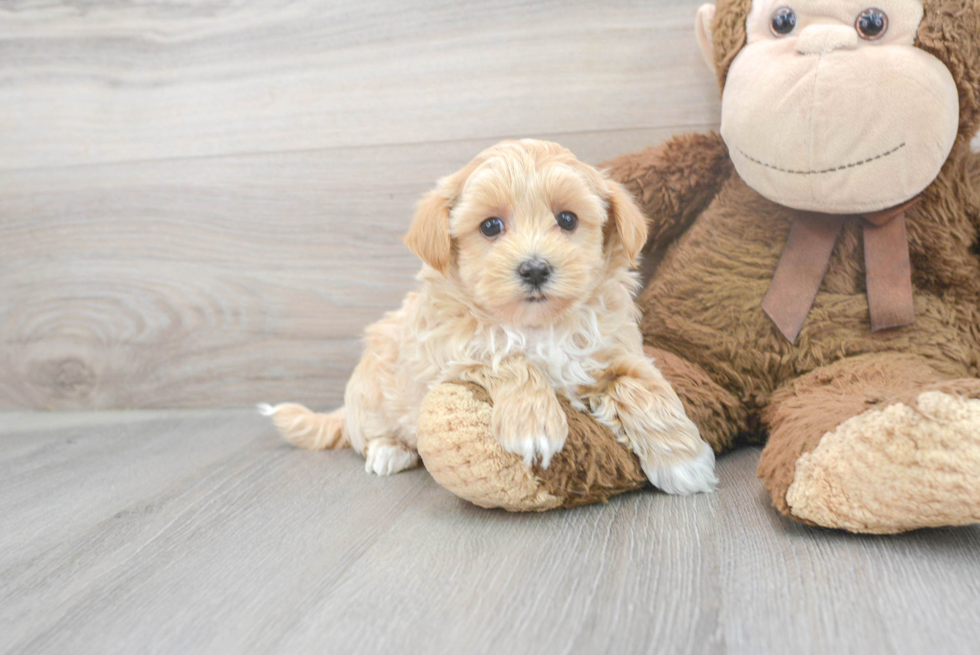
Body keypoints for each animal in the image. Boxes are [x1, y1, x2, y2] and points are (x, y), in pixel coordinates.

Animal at [264, 141, 716, 494]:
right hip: (371, 393)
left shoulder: (617, 351)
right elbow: (506, 357)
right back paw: (390, 450)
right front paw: (534, 427)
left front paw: (684, 461)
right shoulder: (450, 351)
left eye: (567, 219)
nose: (534, 269)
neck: (538, 326)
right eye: (491, 226)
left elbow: (641, 387)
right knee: (368, 433)